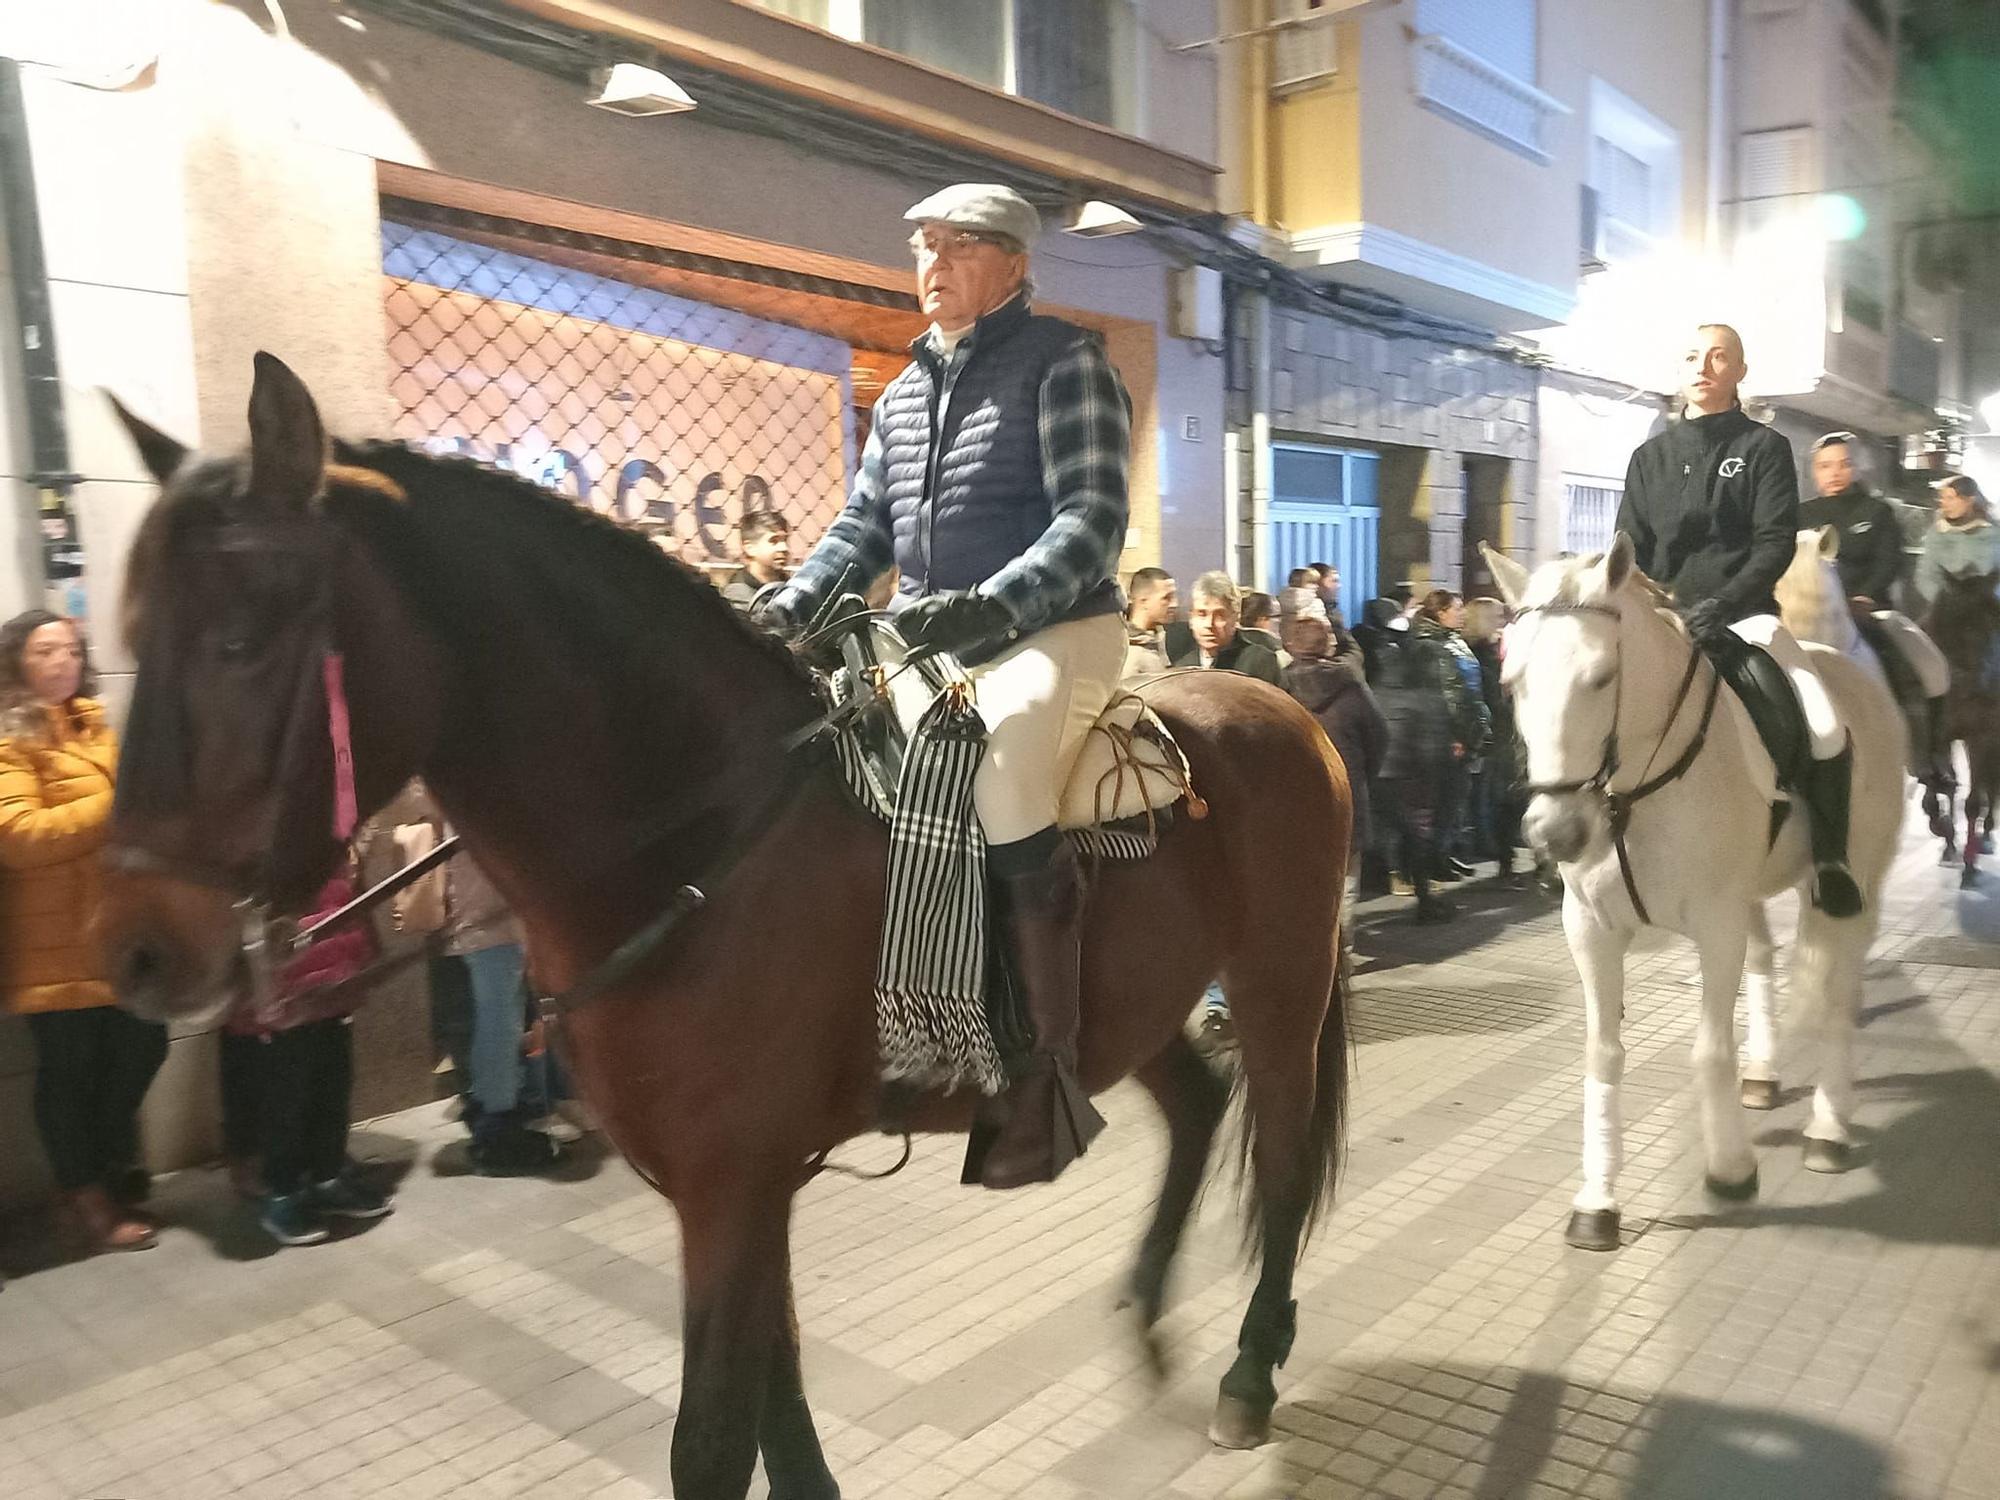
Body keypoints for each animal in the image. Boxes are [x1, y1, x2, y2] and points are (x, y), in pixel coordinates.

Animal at [90, 356, 1344, 1500]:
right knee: (1197, 1108)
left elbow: (712, 1439)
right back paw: (1148, 1316)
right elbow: (775, 1399)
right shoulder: (737, 1187)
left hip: (1277, 984)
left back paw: (1247, 1373)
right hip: (1140, 1009)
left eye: (240, 642)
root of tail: (1279, 702)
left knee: (1279, 1165)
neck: (692, 834)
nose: (136, 949)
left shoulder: (732, 1185)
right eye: (135, 631)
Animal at [1488, 544, 1904, 1256]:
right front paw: (1597, 1200)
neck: (1627, 793)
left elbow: (1708, 1050)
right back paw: (1763, 1077)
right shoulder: (1591, 931)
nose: (1554, 834)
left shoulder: (1715, 925)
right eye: (1513, 681)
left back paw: (1827, 1130)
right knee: (1767, 960)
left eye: (1601, 677)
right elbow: (1603, 1053)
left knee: (1837, 993)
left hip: (1856, 887)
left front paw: (1731, 1170)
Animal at [1920, 568, 2000, 888]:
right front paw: (1944, 834)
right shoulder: (1936, 734)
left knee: (1991, 785)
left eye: (1996, 622)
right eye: (1962, 622)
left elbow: (1973, 801)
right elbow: (1936, 790)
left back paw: (1985, 836)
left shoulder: (1983, 735)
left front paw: (1969, 866)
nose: (1988, 680)